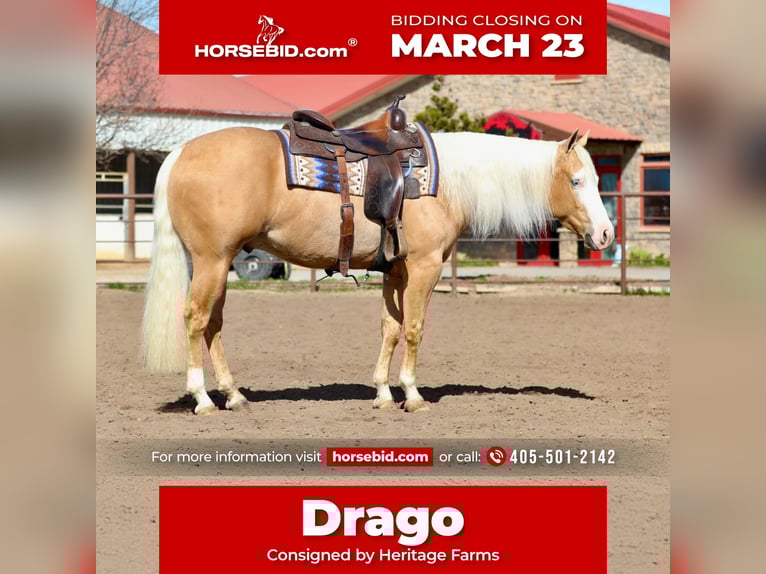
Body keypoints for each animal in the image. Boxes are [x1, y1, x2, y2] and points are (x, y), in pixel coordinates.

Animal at [141, 126, 614, 415]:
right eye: (577, 181)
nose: (607, 235)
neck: (444, 184)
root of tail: (180, 153)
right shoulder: (423, 267)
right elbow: (415, 329)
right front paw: (413, 394)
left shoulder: (396, 271)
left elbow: (390, 327)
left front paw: (384, 393)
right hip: (212, 261)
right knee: (195, 318)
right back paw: (203, 398)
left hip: (216, 265)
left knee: (214, 324)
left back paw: (234, 395)